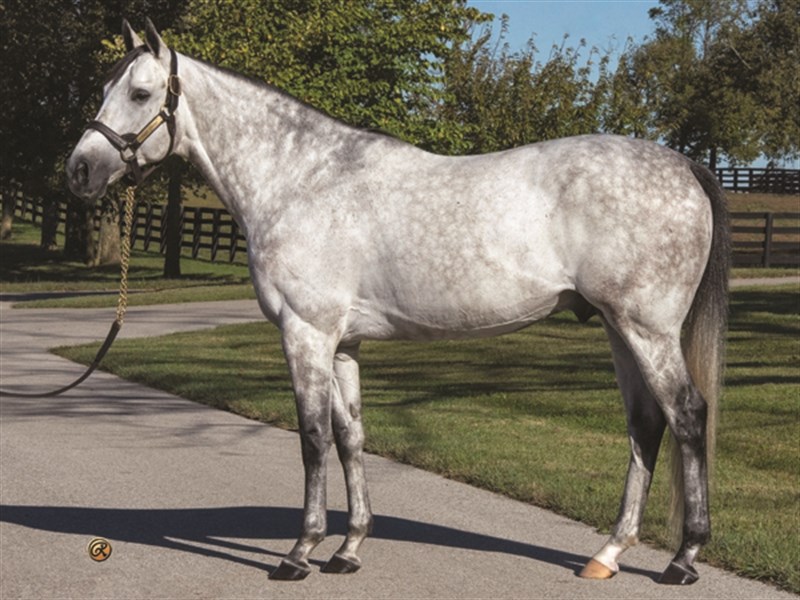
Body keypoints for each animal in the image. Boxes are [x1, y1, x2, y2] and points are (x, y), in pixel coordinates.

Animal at [66, 19, 729, 585]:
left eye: (141, 92)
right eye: (103, 88)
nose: (80, 170)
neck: (299, 180)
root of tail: (684, 166)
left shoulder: (305, 333)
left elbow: (312, 437)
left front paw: (300, 552)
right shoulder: (343, 344)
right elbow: (350, 436)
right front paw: (348, 548)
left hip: (646, 328)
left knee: (687, 415)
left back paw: (683, 559)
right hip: (618, 329)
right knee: (645, 425)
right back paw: (608, 555)